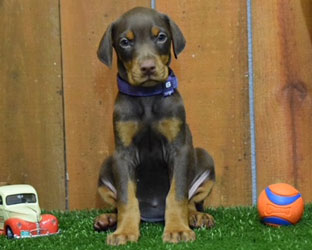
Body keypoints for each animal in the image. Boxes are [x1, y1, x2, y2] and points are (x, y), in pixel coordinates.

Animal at [94, 6, 216, 245]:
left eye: (161, 37)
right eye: (125, 42)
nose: (148, 67)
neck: (147, 97)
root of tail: (152, 215)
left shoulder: (179, 149)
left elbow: (177, 194)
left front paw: (178, 230)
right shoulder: (123, 154)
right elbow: (126, 198)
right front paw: (124, 231)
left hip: (204, 158)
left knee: (190, 200)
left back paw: (197, 216)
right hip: (105, 165)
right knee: (117, 203)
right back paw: (108, 219)